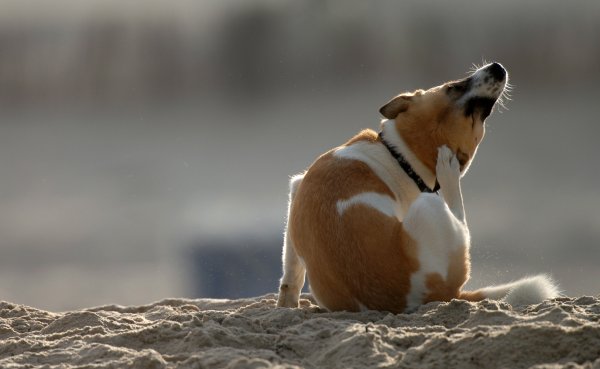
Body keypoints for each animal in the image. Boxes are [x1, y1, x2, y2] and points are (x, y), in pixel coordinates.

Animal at [276, 61, 556, 312]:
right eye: (453, 87)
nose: (498, 67)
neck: (401, 155)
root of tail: (443, 293)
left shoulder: (297, 188)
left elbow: (291, 270)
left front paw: (287, 303)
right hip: (430, 205)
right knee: (459, 216)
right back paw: (448, 172)